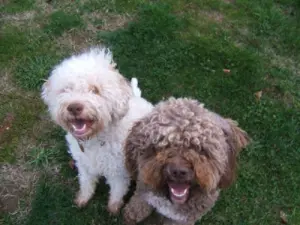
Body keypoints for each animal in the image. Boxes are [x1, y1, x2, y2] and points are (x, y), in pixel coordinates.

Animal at [41, 46, 154, 214]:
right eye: (66, 89)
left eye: (95, 90)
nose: (74, 107)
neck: (94, 140)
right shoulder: (84, 166)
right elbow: (86, 183)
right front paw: (83, 198)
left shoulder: (118, 172)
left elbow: (117, 191)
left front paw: (114, 207)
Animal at [121, 97, 248, 225]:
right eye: (161, 144)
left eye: (200, 148)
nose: (178, 171)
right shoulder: (144, 188)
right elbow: (139, 203)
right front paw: (131, 215)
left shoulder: (182, 219)